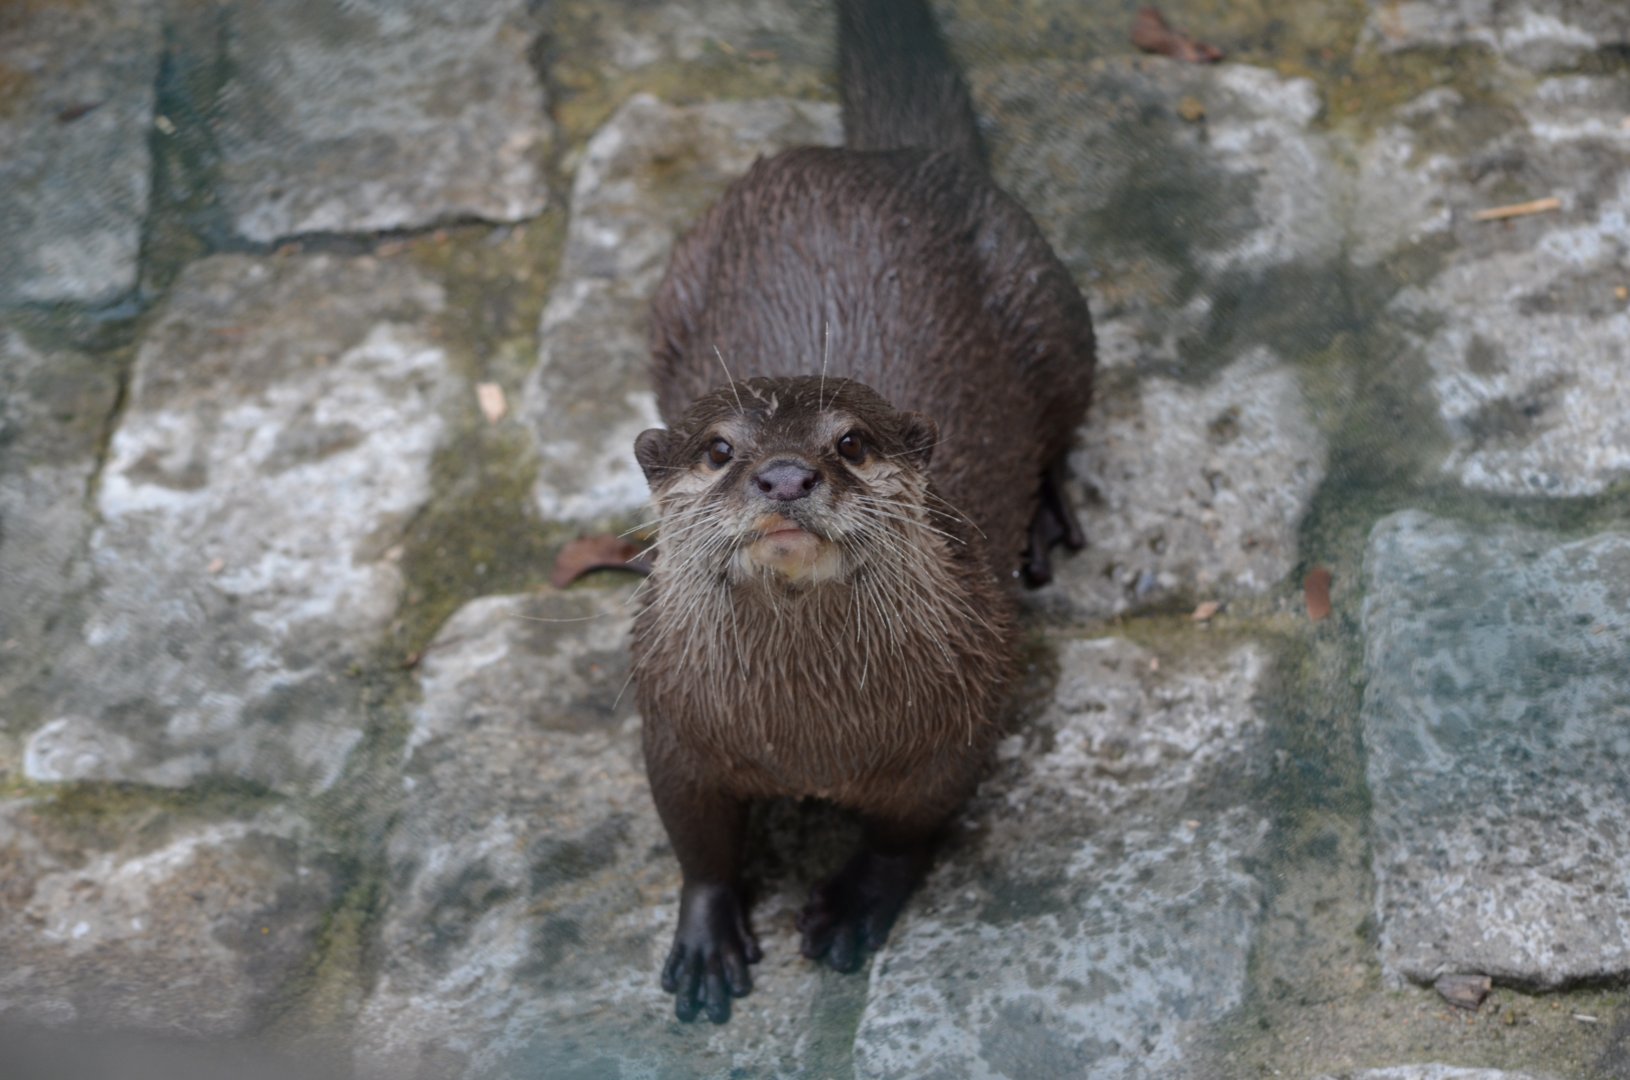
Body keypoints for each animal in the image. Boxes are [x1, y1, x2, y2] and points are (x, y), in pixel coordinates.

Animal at [630, 0, 1095, 1023]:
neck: (808, 736)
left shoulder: (959, 726)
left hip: (1052, 305)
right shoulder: (672, 726)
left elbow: (905, 836)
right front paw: (707, 941)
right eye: (719, 449)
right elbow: (697, 842)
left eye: (850, 442)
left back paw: (1047, 519)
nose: (784, 476)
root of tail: (877, 158)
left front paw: (850, 908)